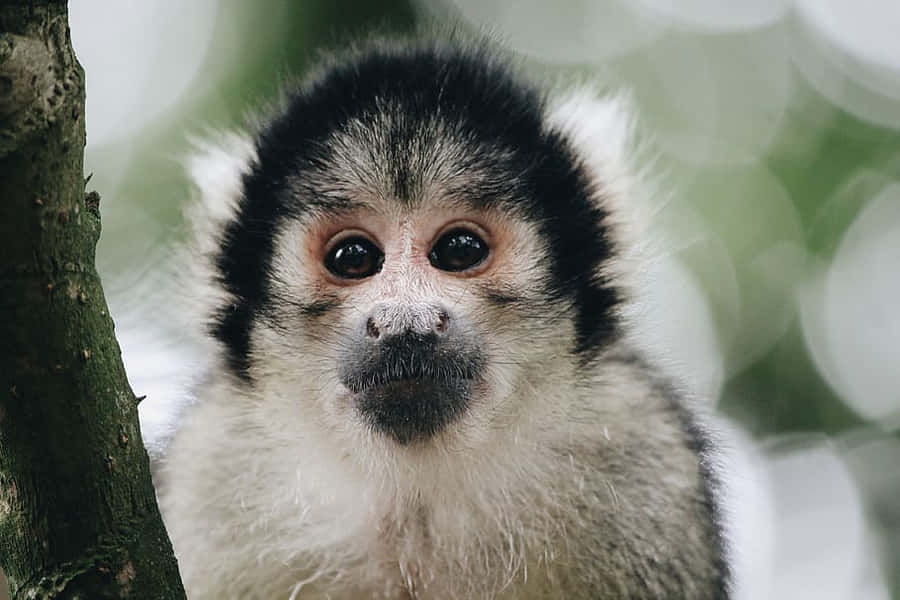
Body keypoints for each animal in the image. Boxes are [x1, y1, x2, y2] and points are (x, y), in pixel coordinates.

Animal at [154, 35, 731, 599]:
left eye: (459, 249)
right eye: (353, 258)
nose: (404, 323)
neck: (417, 496)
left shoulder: (649, 461)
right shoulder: (206, 472)